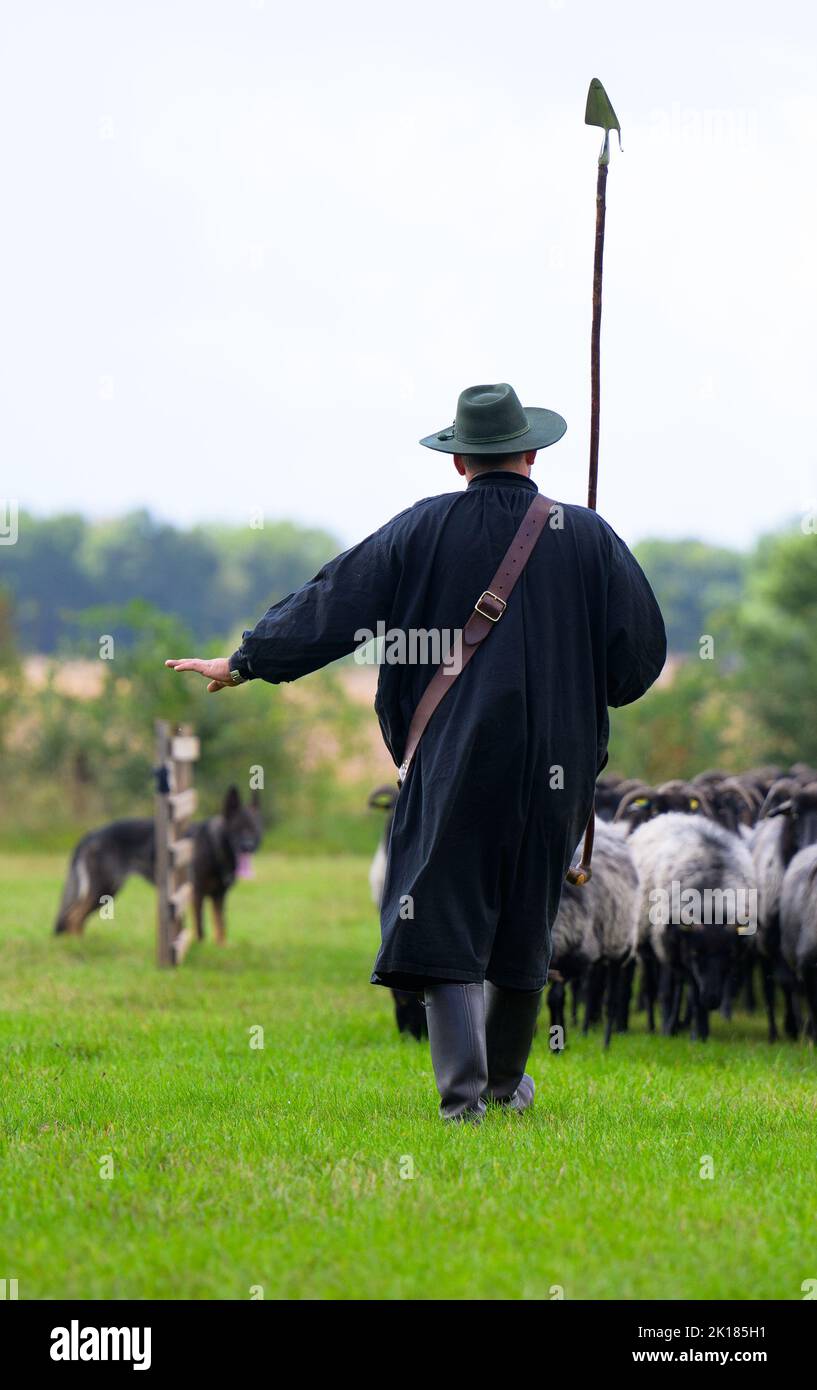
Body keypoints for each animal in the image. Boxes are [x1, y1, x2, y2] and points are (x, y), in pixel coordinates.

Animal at [54, 789, 261, 939]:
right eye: (238, 829)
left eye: (253, 828)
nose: (248, 846)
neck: (214, 844)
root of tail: (91, 834)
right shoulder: (197, 894)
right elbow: (201, 928)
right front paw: (201, 947)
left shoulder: (219, 896)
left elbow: (221, 926)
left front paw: (221, 949)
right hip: (104, 888)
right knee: (73, 917)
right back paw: (77, 944)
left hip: (106, 890)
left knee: (76, 917)